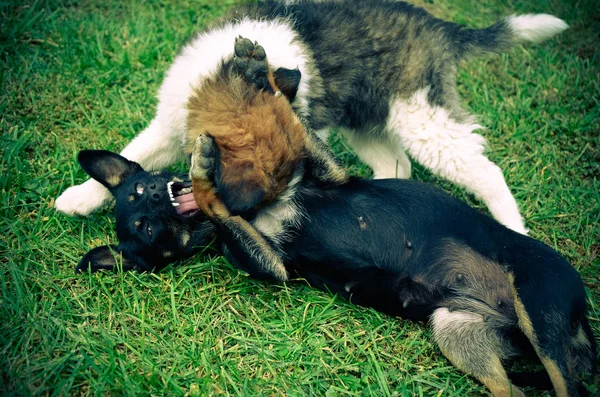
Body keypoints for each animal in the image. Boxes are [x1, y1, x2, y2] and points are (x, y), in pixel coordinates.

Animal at [56, 0, 568, 232]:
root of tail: (439, 26)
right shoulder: (171, 118)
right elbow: (134, 152)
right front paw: (79, 197)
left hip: (423, 117)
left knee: (485, 171)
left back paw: (514, 229)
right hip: (366, 120)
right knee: (396, 164)